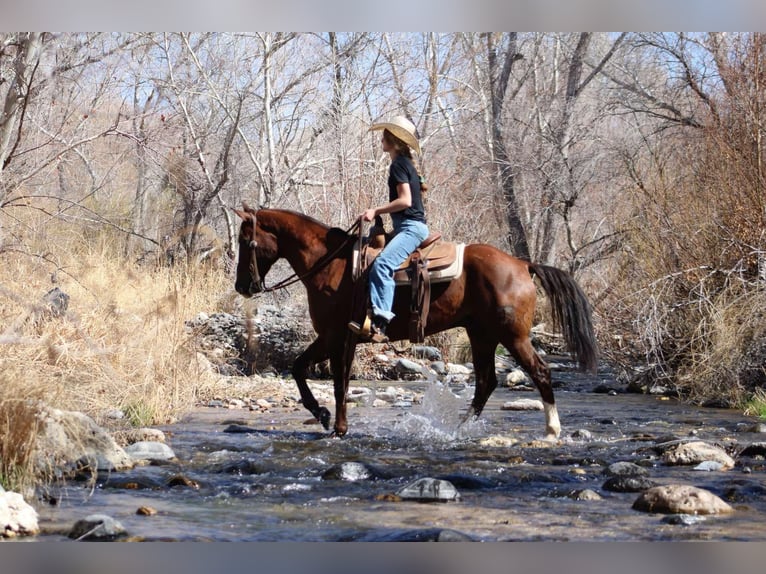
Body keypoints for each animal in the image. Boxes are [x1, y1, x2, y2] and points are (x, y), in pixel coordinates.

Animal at [233, 205, 598, 440]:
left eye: (245, 241)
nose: (242, 286)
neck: (330, 265)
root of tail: (523, 265)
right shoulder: (339, 339)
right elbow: (312, 373)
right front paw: (327, 419)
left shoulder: (334, 336)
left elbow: (328, 381)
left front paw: (333, 424)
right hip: (482, 334)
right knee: (486, 382)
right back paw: (457, 429)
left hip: (513, 335)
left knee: (539, 372)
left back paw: (551, 430)